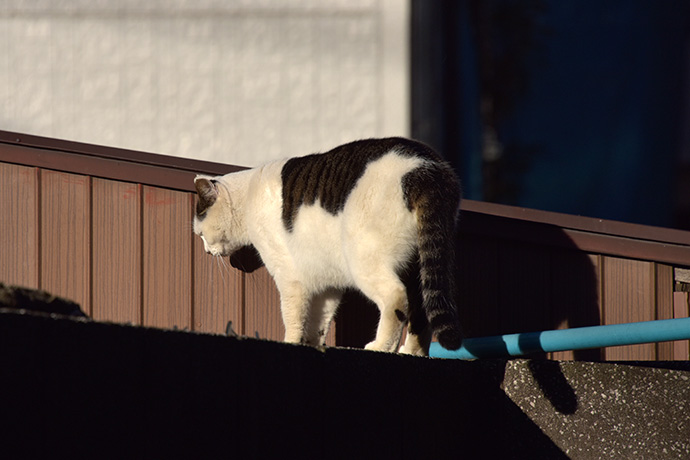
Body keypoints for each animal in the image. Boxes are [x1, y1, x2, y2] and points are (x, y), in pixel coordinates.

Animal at [194, 137, 462, 356]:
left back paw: (381, 346)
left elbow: (293, 316)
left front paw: (290, 342)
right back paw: (412, 351)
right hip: (418, 267)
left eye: (200, 234)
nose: (205, 251)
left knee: (396, 297)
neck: (248, 196)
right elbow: (319, 321)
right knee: (421, 309)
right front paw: (313, 342)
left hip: (364, 258)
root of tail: (425, 169)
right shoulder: (327, 283)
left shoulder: (289, 277)